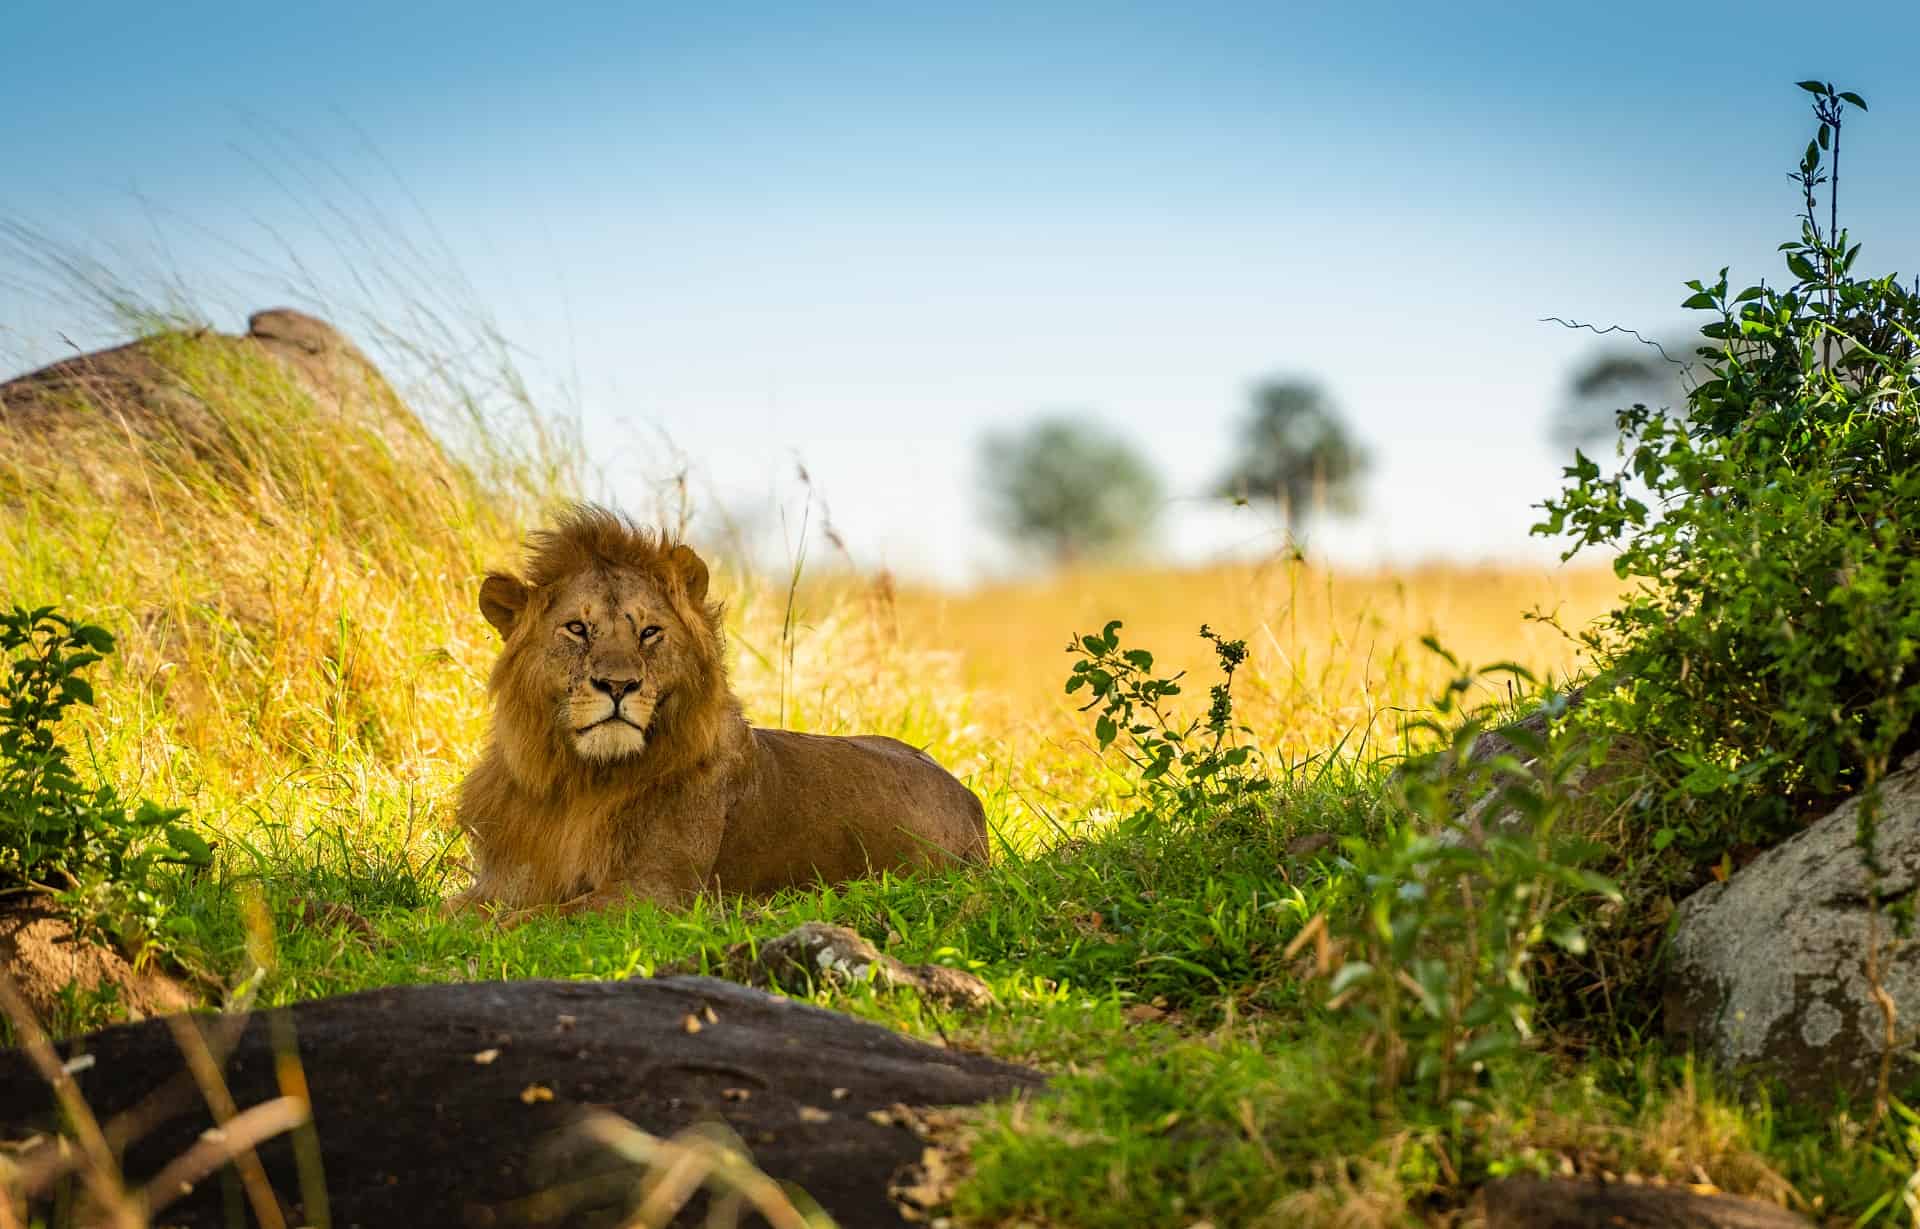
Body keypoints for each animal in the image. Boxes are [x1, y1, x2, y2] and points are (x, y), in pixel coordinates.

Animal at [449, 503, 990, 917]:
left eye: (649, 632)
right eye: (577, 629)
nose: (618, 685)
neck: (577, 783)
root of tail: (968, 796)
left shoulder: (655, 894)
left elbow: (533, 919)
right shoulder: (504, 880)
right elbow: (448, 913)